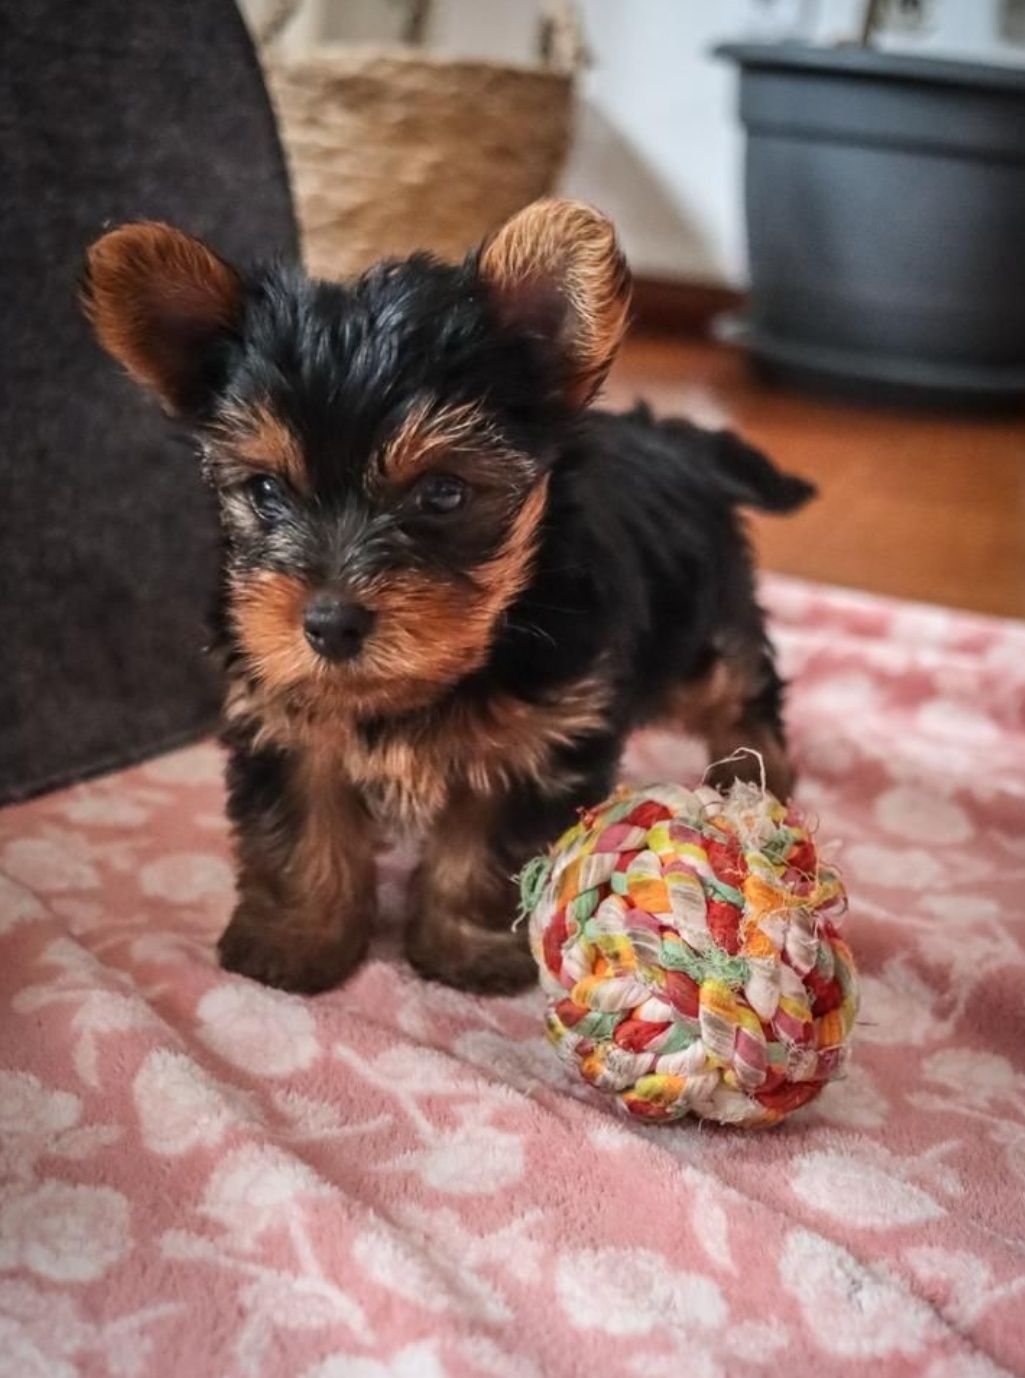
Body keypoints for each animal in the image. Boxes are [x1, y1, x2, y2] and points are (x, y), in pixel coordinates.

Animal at [84, 201, 810, 992]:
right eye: (266, 490)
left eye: (442, 492)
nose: (329, 623)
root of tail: (676, 441)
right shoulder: (283, 720)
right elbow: (301, 830)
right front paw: (296, 940)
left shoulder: (538, 737)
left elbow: (484, 848)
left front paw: (467, 950)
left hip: (701, 629)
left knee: (741, 686)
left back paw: (751, 777)